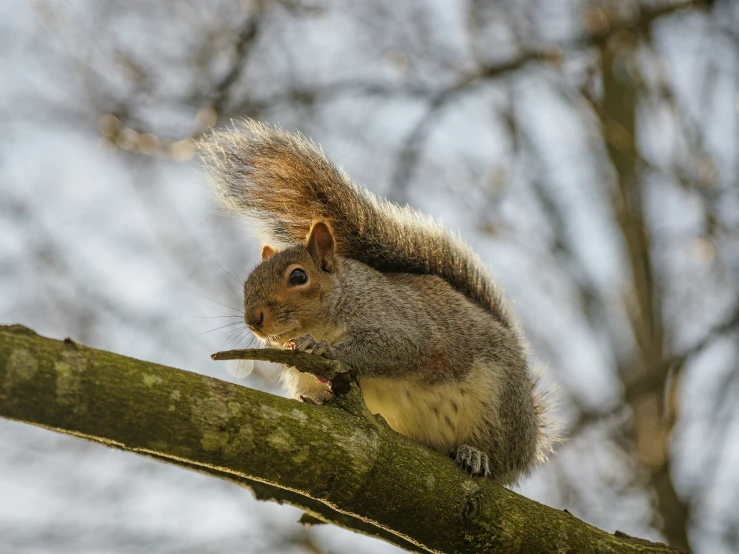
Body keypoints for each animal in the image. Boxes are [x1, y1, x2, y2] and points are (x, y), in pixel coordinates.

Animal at [199, 121, 556, 484]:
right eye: (248, 282)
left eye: (298, 276)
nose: (253, 319)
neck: (334, 306)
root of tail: (531, 439)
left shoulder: (396, 321)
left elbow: (397, 347)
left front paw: (322, 348)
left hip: (499, 405)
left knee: (498, 458)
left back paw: (476, 455)